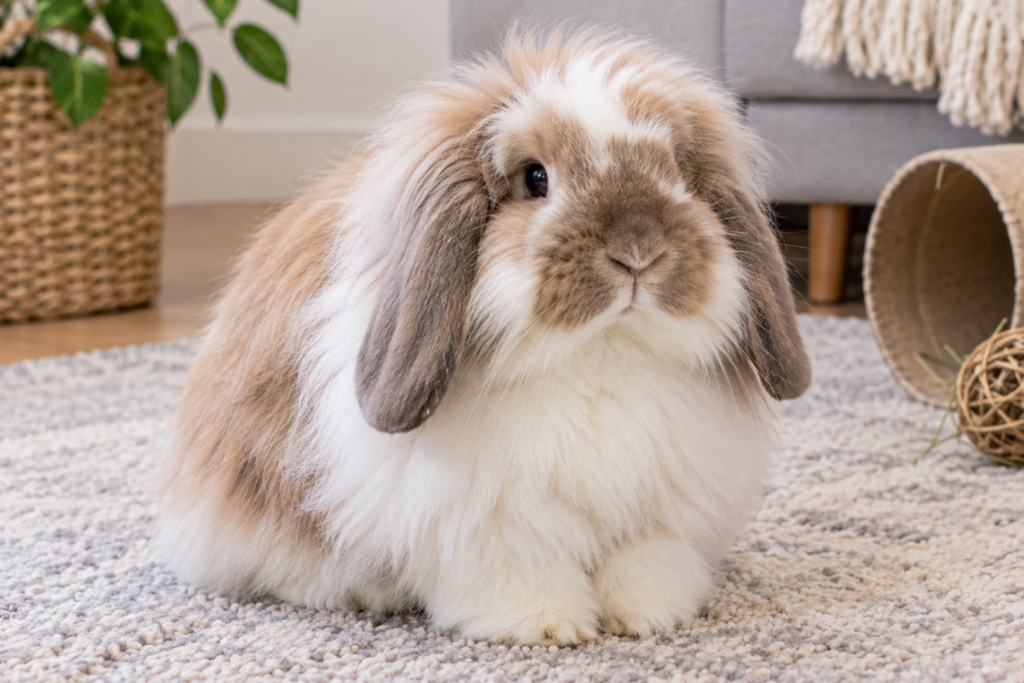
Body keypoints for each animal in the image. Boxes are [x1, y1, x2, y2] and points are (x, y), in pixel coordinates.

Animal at [153, 27, 811, 646]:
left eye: (677, 172)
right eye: (535, 178)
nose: (637, 251)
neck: (599, 354)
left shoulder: (658, 511)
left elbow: (644, 563)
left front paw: (650, 616)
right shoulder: (489, 520)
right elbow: (518, 567)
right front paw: (544, 626)